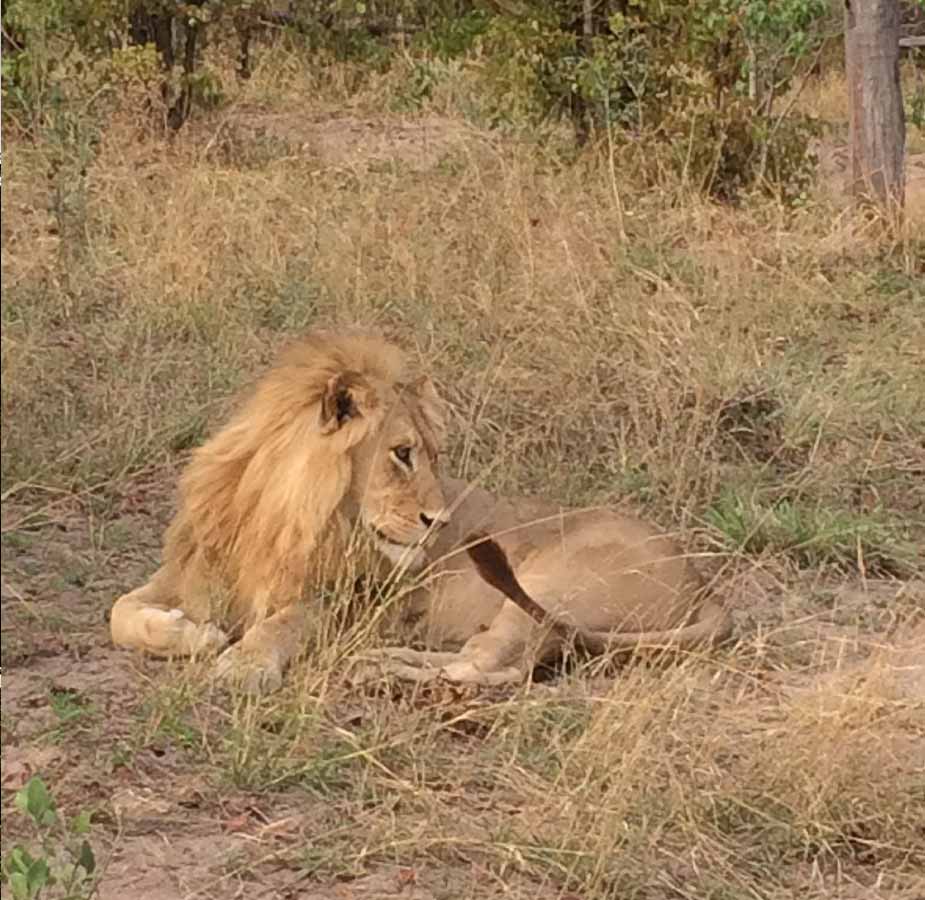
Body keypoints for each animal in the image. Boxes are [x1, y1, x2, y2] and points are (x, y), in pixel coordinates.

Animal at [110, 334, 728, 692]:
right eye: (402, 454)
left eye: (435, 457)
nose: (440, 521)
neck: (281, 515)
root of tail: (705, 583)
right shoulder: (192, 570)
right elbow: (120, 613)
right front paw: (191, 633)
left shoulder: (344, 605)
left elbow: (282, 624)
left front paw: (243, 664)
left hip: (549, 584)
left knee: (492, 669)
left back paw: (376, 668)